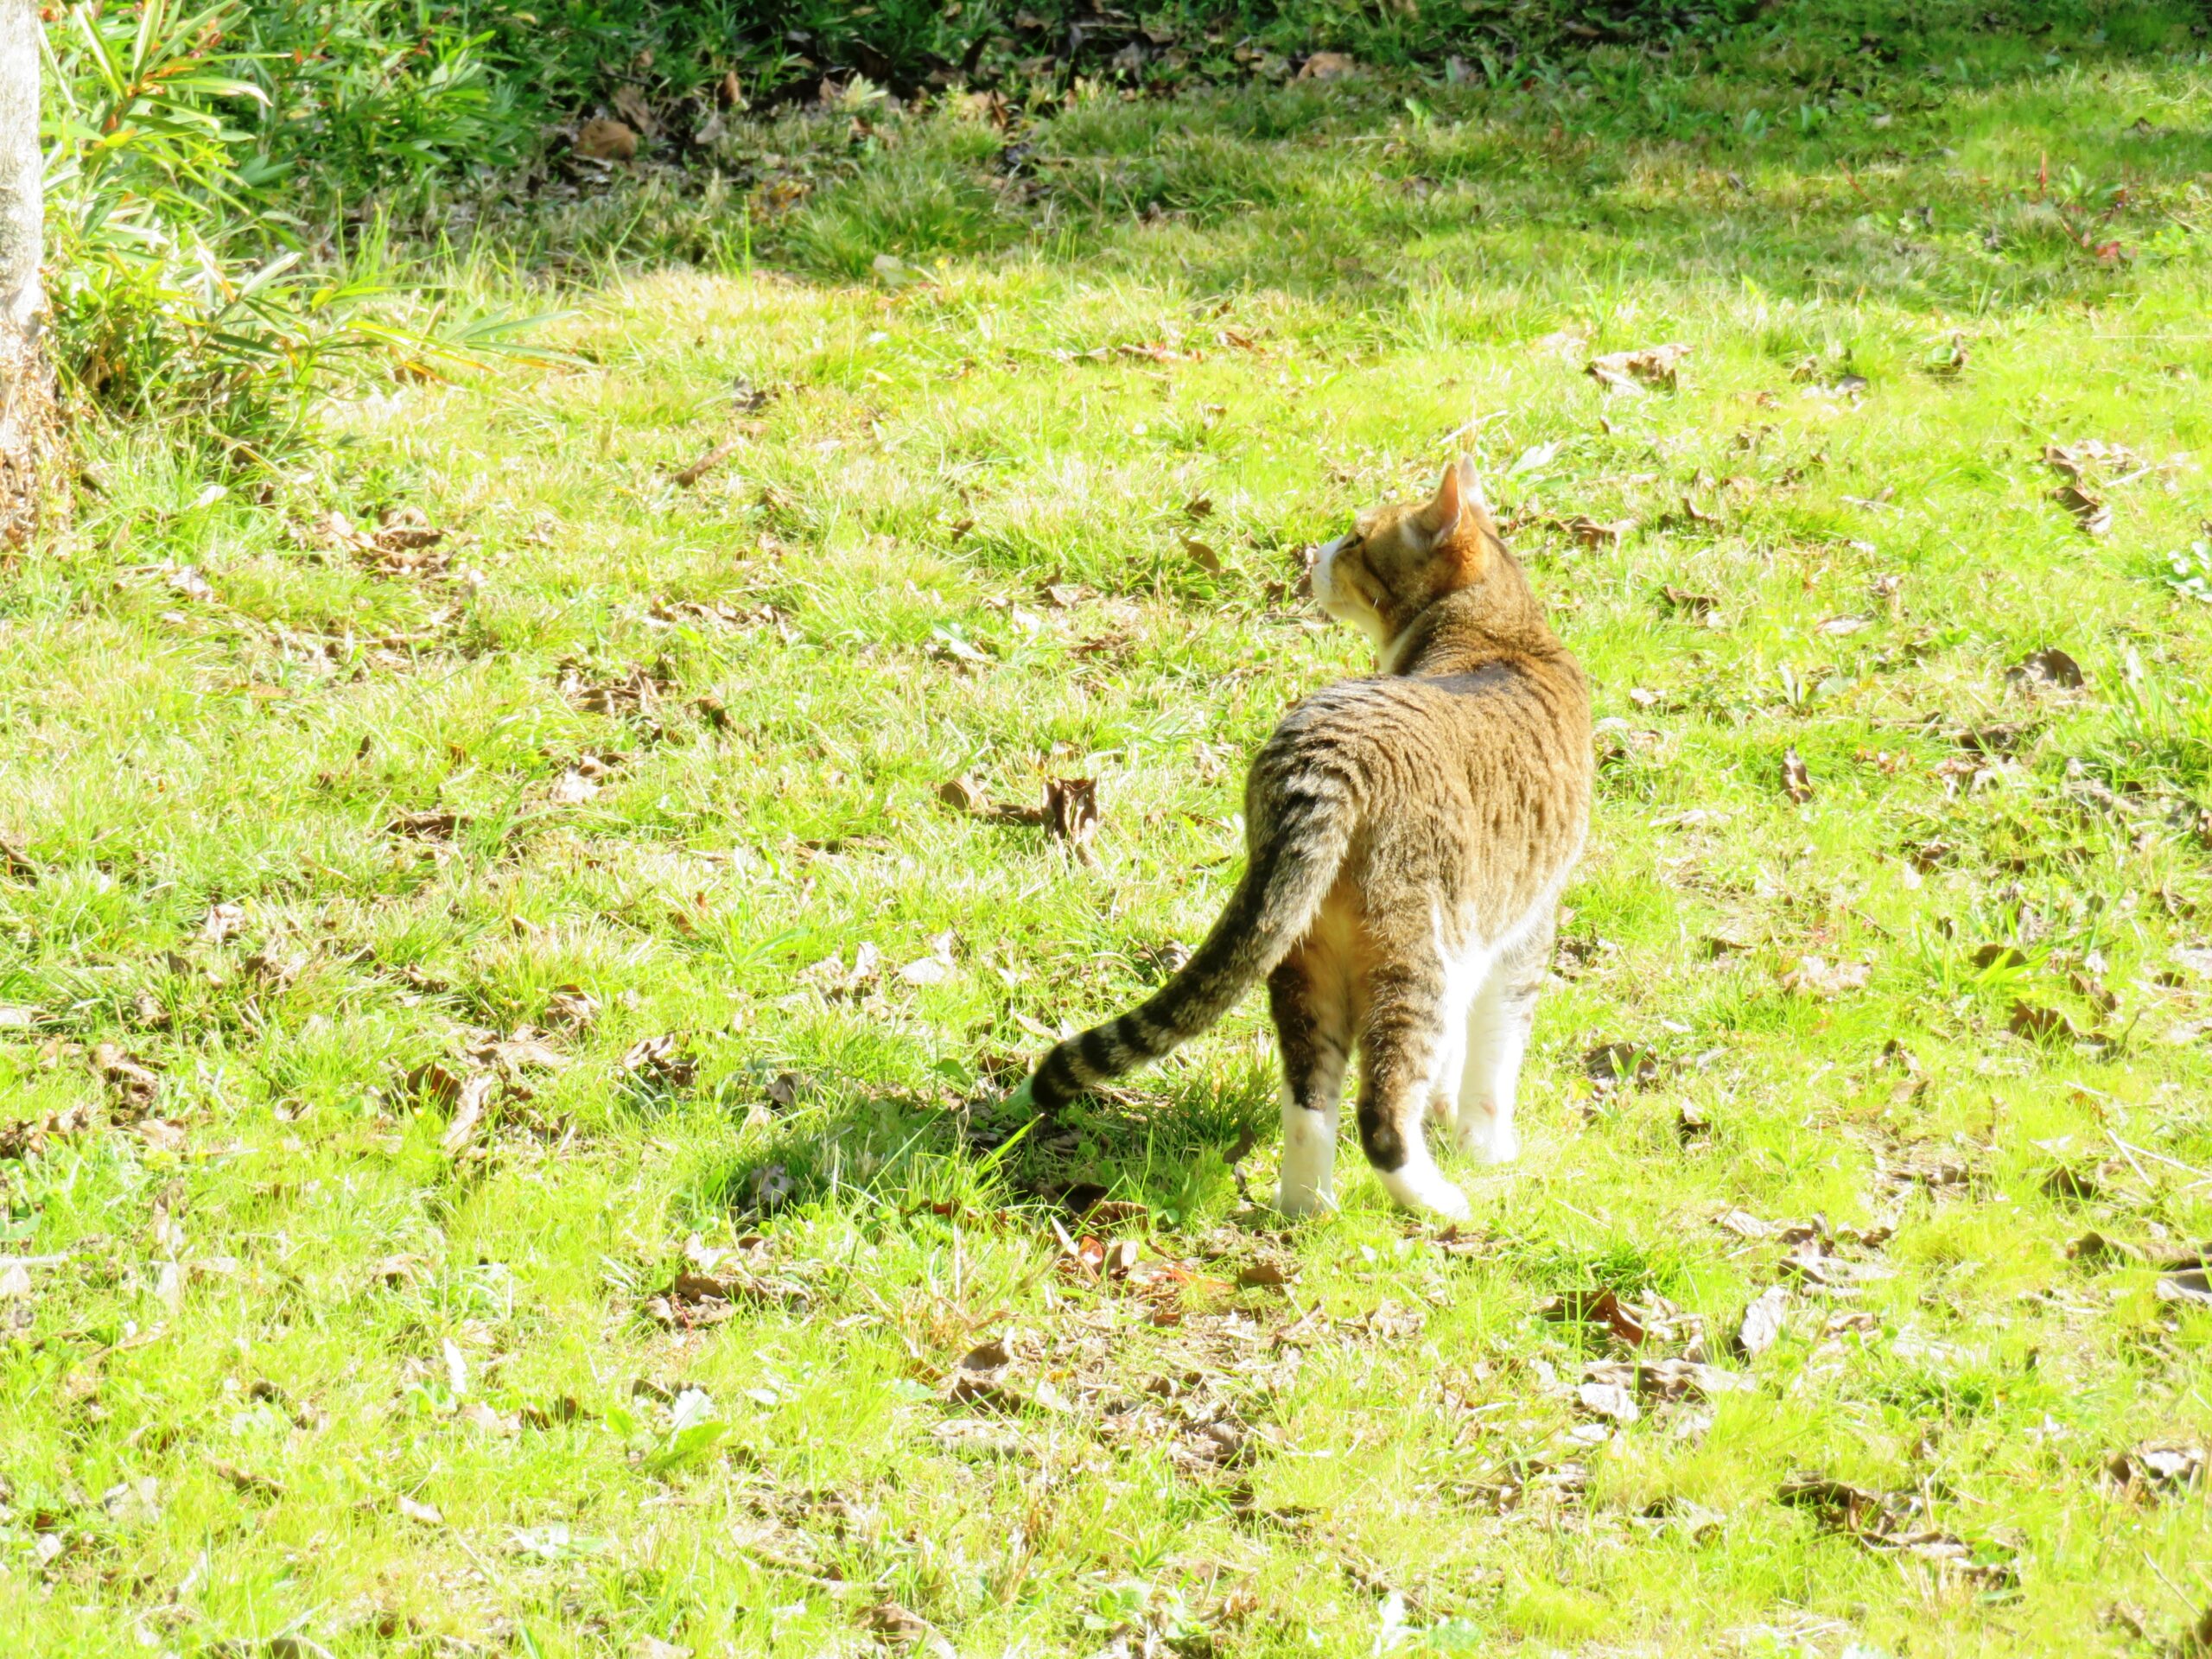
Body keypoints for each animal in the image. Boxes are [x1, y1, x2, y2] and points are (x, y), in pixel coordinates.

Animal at [1017, 462, 1592, 1230]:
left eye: (1356, 539)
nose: (1313, 554)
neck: (1499, 630)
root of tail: (1327, 764)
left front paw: (1447, 1117)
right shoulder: (1525, 926)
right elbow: (1494, 1053)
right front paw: (1487, 1147)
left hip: (1301, 952)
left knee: (1309, 1097)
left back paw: (1306, 1209)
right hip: (1415, 956)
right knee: (1380, 1110)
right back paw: (1438, 1203)